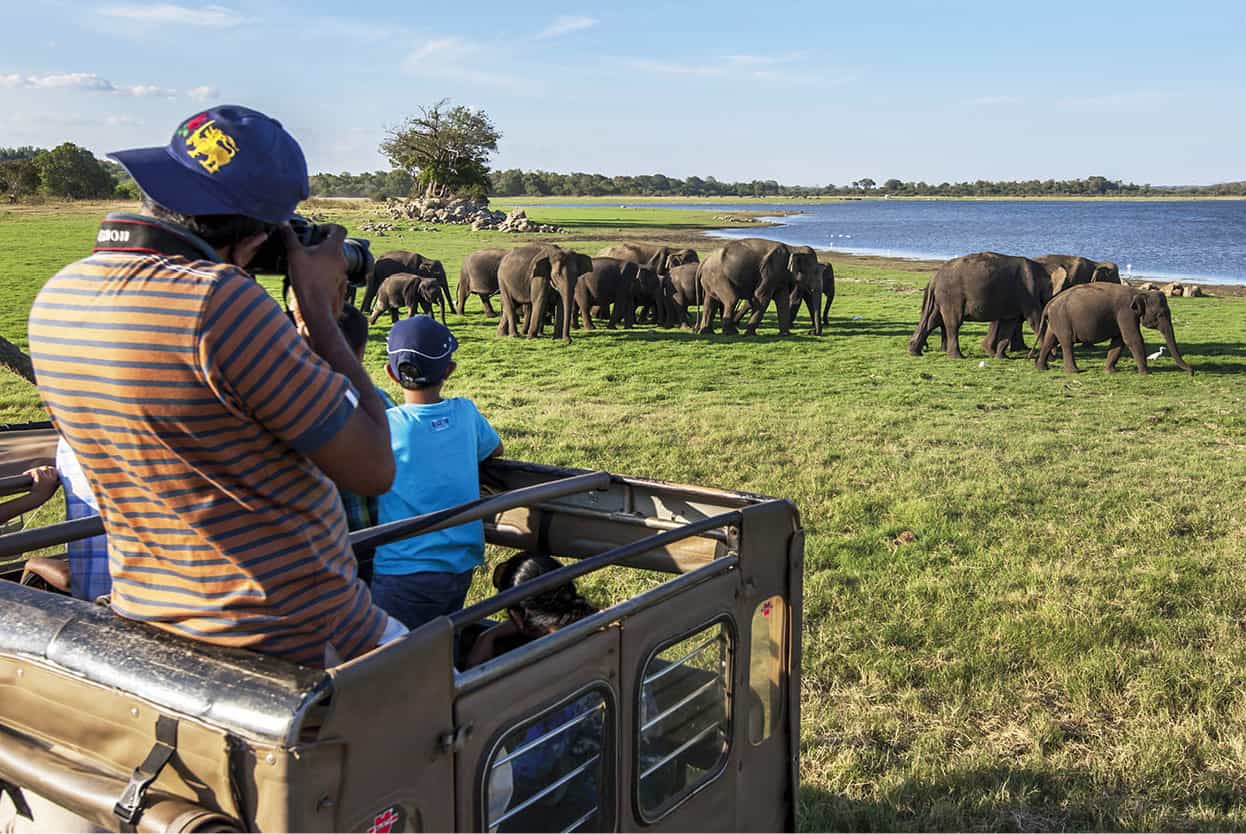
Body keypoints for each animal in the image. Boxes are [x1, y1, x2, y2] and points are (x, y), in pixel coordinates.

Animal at [912, 251, 1056, 359]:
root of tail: (934, 277)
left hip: (943, 298)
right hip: (952, 296)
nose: (1030, 356)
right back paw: (957, 357)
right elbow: (1035, 320)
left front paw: (1001, 357)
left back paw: (913, 351)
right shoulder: (1028, 294)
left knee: (933, 320)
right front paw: (1050, 357)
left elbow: (1009, 323)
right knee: (953, 323)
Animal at [1036, 282, 1191, 373]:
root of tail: (1049, 303)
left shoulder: (1121, 317)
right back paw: (1074, 371)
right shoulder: (1126, 313)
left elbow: (1119, 341)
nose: (1191, 372)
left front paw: (1110, 371)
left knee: (1050, 339)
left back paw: (1042, 368)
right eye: (1160, 315)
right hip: (1063, 320)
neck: (1139, 292)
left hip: (1056, 320)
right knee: (1067, 342)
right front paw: (1145, 373)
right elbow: (1132, 338)